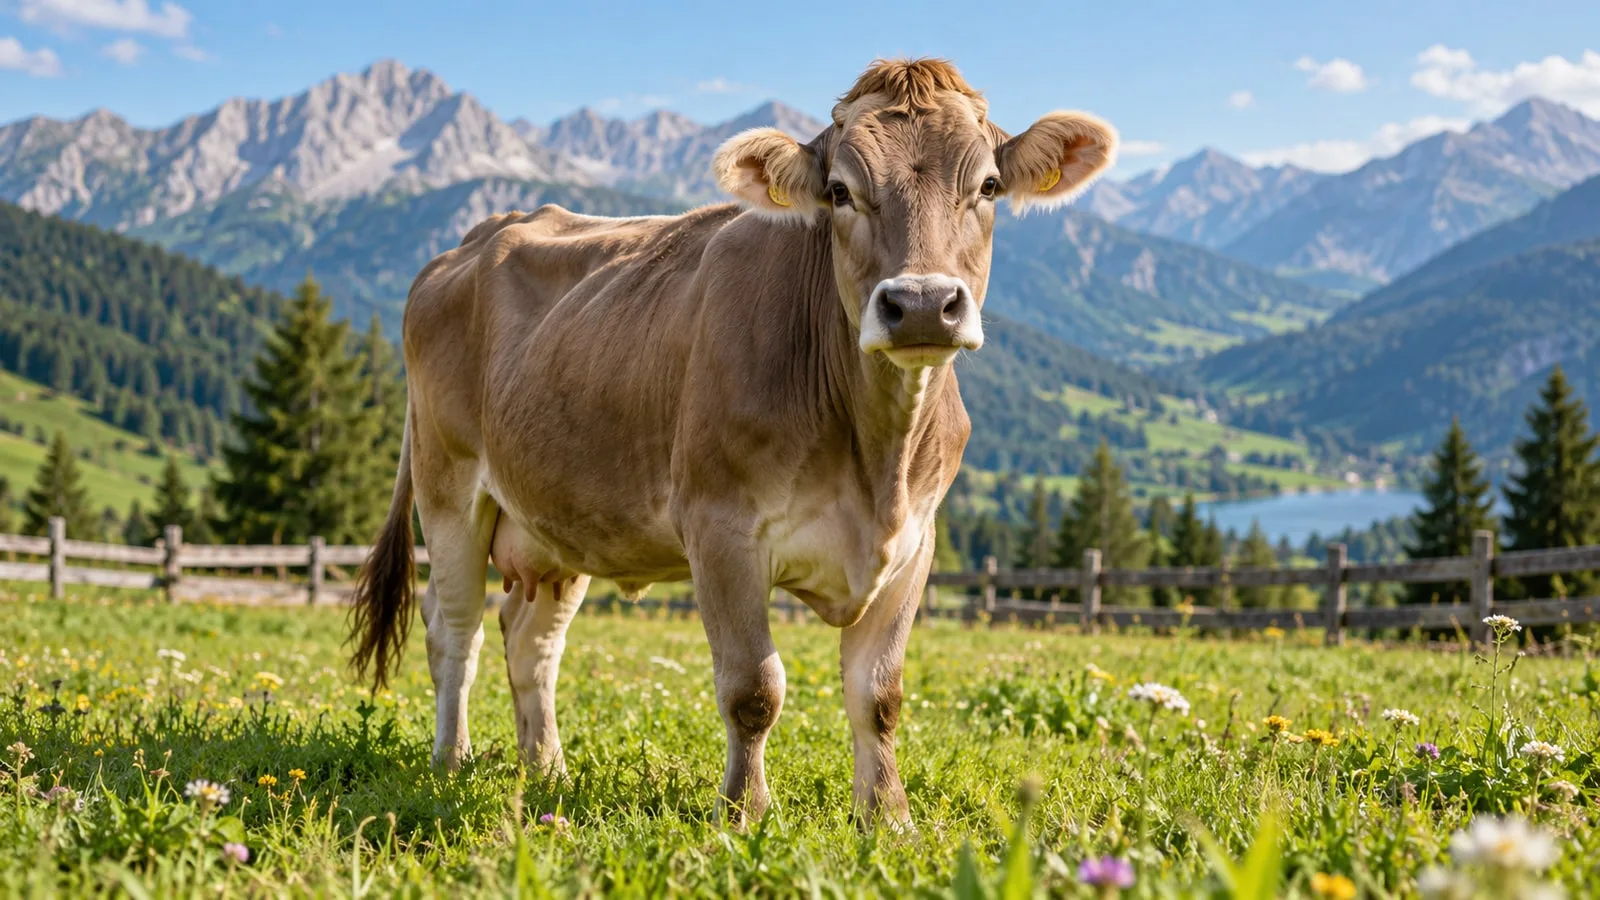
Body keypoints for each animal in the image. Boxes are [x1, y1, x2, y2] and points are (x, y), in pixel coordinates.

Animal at [348, 57, 1116, 827]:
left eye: (986, 186)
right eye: (840, 191)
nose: (923, 304)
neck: (877, 463)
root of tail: (472, 240)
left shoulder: (914, 543)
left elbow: (879, 694)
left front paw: (888, 817)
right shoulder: (720, 528)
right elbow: (753, 688)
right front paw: (744, 811)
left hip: (556, 523)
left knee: (530, 641)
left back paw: (547, 771)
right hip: (448, 489)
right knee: (455, 630)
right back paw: (451, 761)